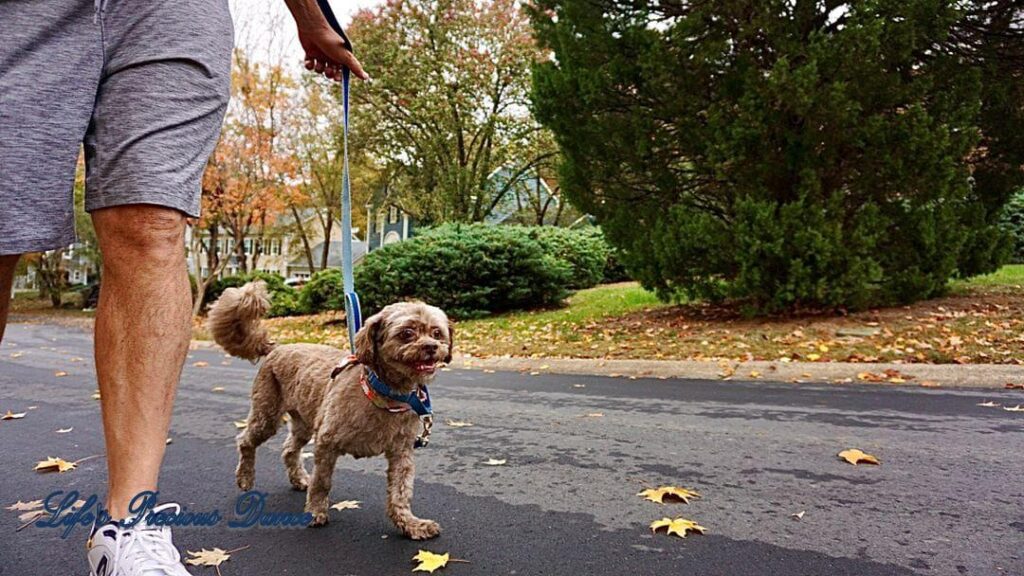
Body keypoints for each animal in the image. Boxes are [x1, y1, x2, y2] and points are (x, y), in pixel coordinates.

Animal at [205, 280, 450, 537]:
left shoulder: (401, 452)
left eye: (437, 333)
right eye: (407, 333)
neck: (385, 394)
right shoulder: (326, 442)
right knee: (246, 441)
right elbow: (322, 482)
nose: (432, 347)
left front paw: (410, 524)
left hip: (304, 422)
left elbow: (400, 491)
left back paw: (299, 478)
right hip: (267, 415)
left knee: (289, 449)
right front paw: (315, 512)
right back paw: (245, 477)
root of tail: (276, 348)